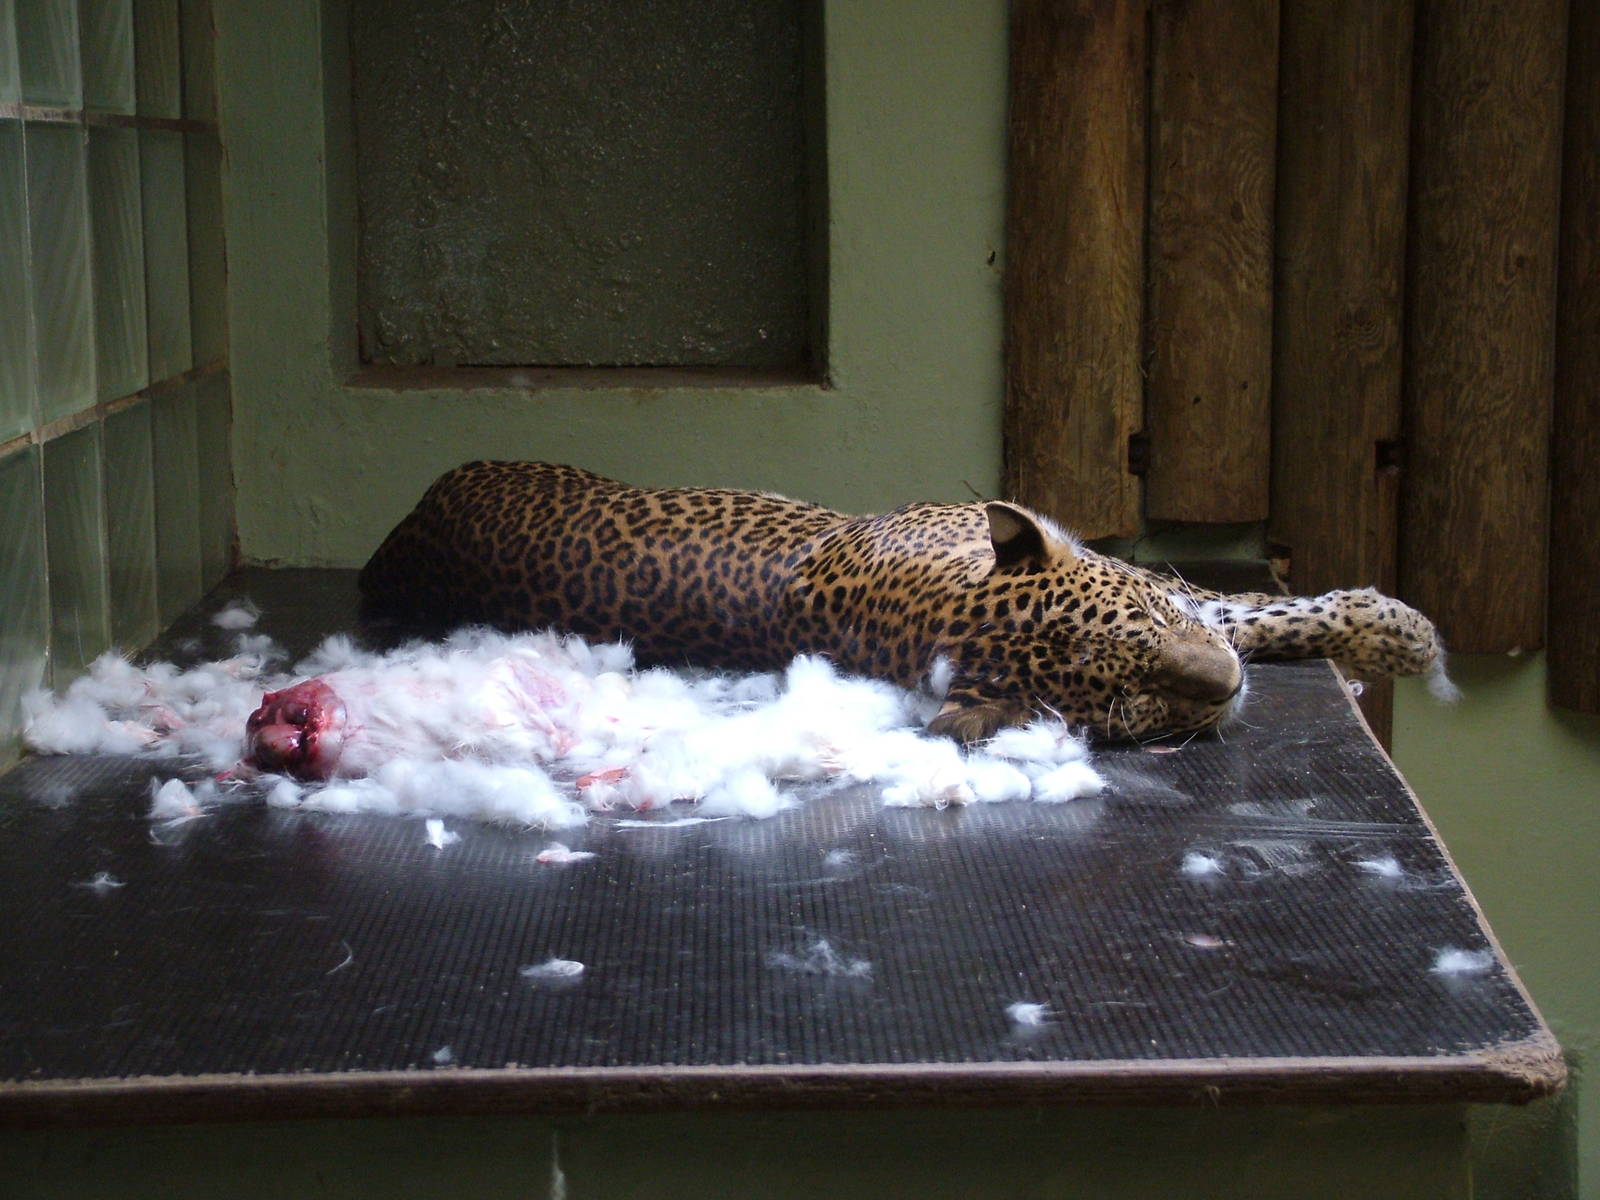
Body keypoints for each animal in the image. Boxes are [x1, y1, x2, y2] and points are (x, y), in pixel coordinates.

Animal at [356, 461, 1447, 743]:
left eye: (1149, 632)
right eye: (1125, 710)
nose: (1220, 692)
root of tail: (403, 538)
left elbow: (1236, 607)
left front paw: (1395, 632)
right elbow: (1247, 614)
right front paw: (1397, 637)